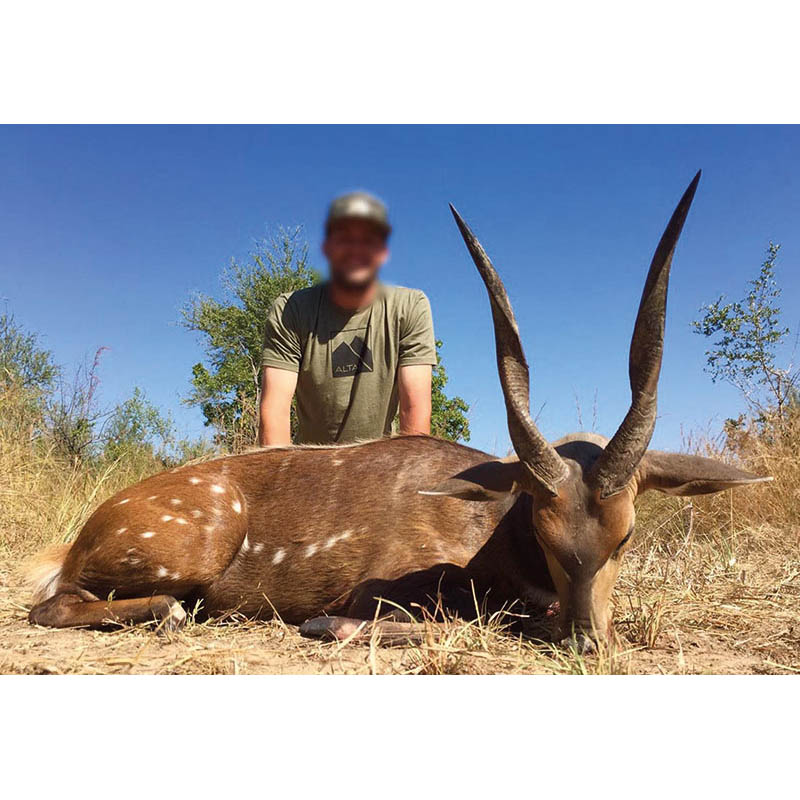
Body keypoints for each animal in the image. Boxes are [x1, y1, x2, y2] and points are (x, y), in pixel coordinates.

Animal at [25, 170, 768, 648]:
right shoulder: (380, 591)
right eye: (546, 531)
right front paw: (324, 625)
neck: (491, 529)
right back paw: (173, 613)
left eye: (626, 538)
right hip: (191, 547)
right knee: (50, 607)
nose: (589, 642)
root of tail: (83, 533)